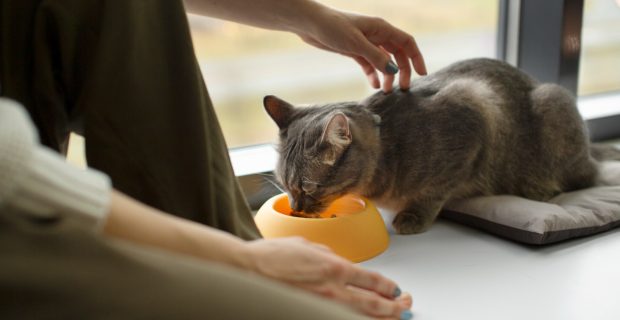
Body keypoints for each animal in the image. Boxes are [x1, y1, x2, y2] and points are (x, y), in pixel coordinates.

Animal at [264, 57, 600, 234]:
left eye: (308, 188)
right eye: (285, 185)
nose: (296, 209)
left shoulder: (473, 113)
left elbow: (434, 191)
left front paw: (412, 216)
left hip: (552, 103)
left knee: (584, 177)